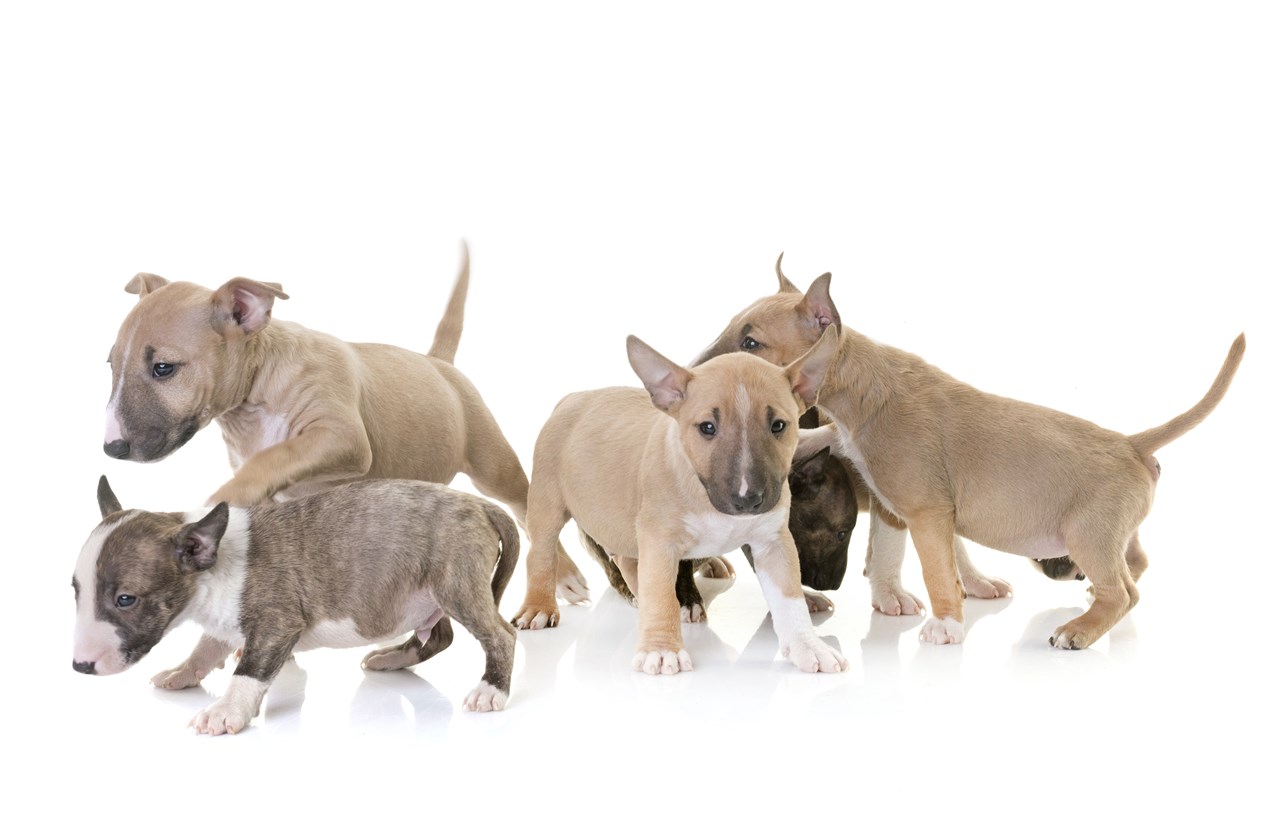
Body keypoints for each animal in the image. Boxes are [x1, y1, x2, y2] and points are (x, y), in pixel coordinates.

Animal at [73, 475, 521, 736]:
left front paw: (225, 712)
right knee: (439, 636)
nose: (80, 667)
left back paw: (490, 690)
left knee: (500, 635)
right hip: (426, 594)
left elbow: (248, 672)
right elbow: (206, 647)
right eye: (76, 591)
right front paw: (182, 673)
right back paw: (393, 658)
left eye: (126, 599)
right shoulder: (223, 623)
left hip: (455, 584)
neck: (214, 562)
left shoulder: (277, 625)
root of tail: (479, 504)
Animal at [510, 327, 849, 675]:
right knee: (542, 554)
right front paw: (662, 650)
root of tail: (574, 397)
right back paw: (539, 607)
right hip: (547, 501)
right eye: (707, 427)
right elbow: (661, 594)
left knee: (626, 560)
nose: (748, 500)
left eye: (779, 425)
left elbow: (788, 596)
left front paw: (808, 646)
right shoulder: (659, 541)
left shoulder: (773, 542)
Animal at [696, 256, 1240, 647]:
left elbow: (938, 569)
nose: (693, 371)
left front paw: (947, 627)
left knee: (1124, 591)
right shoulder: (886, 491)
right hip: (1112, 532)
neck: (864, 386)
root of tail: (1132, 442)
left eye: (752, 342)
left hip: (1087, 536)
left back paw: (1077, 630)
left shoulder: (926, 512)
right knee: (1138, 562)